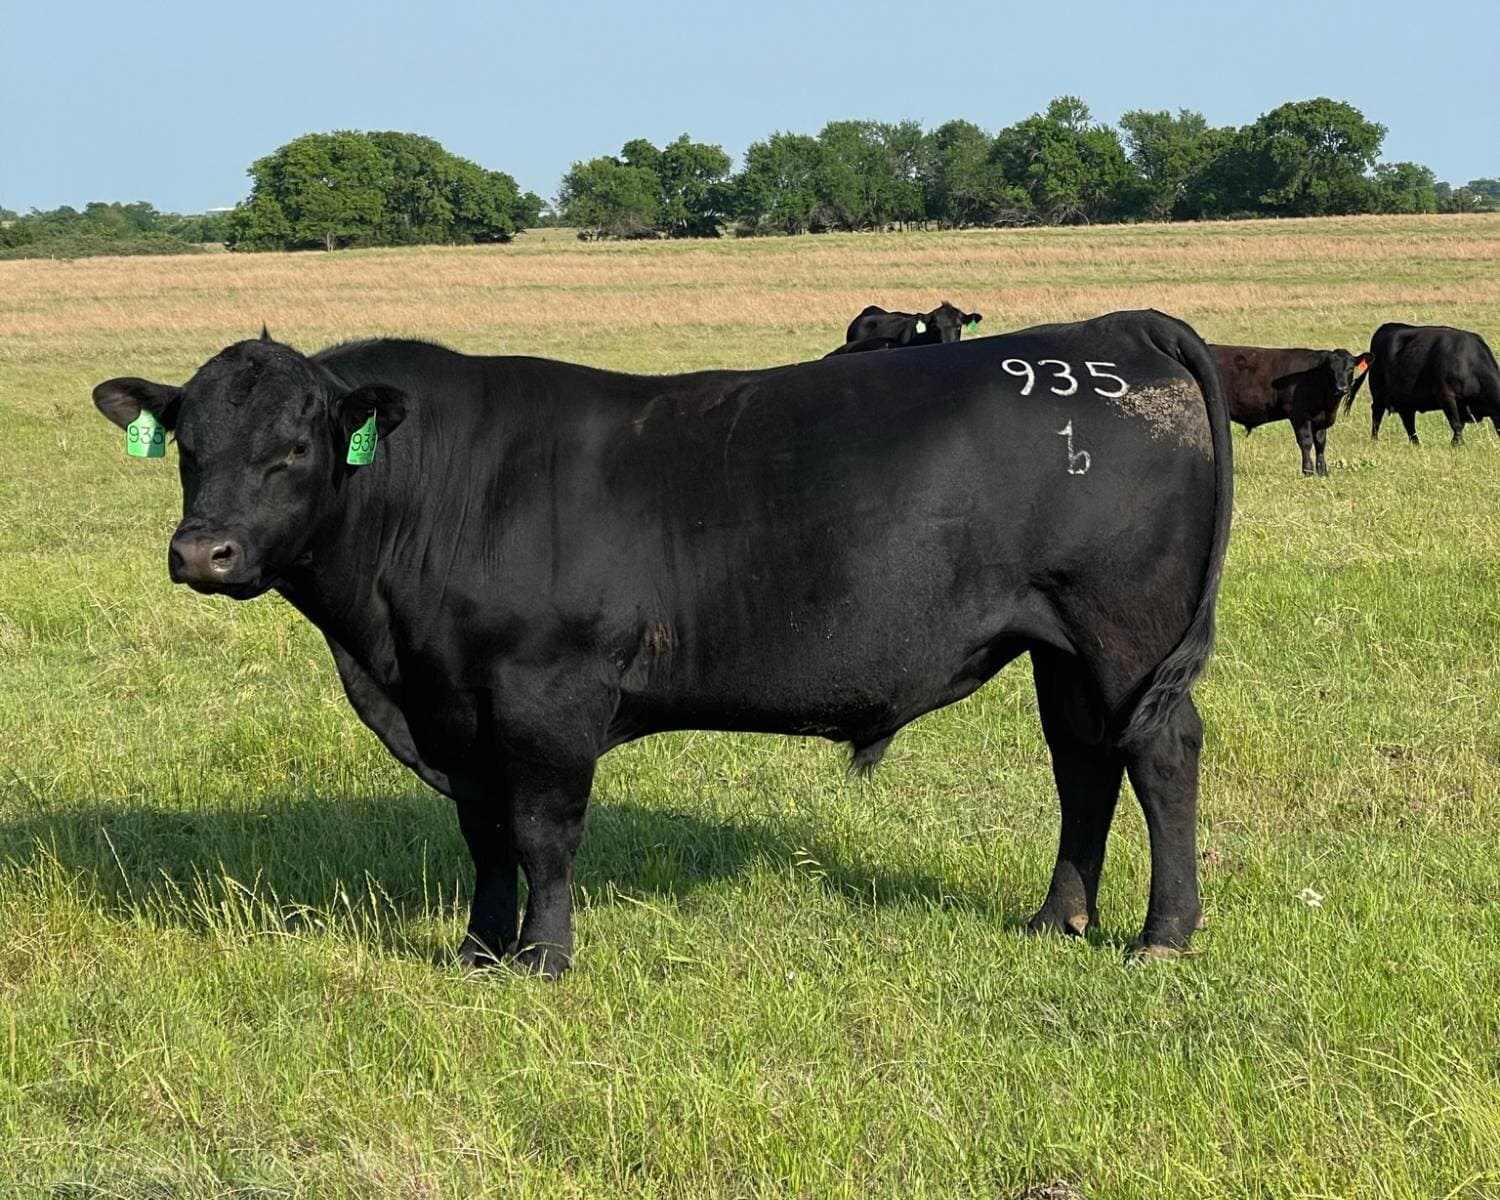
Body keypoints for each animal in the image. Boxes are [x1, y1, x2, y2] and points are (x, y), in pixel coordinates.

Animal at [92, 310, 1231, 977]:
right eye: (187, 445)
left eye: (294, 450)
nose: (203, 552)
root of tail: (1116, 327)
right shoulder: (456, 710)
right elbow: (485, 835)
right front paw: (475, 950)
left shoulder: (547, 695)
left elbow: (544, 833)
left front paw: (543, 959)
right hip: (1061, 644)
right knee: (1082, 762)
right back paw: (1057, 920)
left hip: (1126, 630)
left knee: (1160, 755)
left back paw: (1163, 936)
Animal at [1210, 344, 1370, 476]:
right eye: (1330, 370)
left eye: (1350, 369)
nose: (1341, 388)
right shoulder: (1299, 415)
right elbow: (1306, 441)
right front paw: (1308, 471)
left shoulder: (1320, 419)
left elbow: (1320, 443)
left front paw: (1323, 471)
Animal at [1347, 323, 1500, 445]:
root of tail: (1386, 326)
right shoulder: (1446, 395)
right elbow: (1456, 424)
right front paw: (1458, 445)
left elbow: (1460, 424)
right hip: (1378, 390)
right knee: (1377, 414)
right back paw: (1374, 440)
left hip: (1405, 398)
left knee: (1408, 419)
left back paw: (1416, 443)